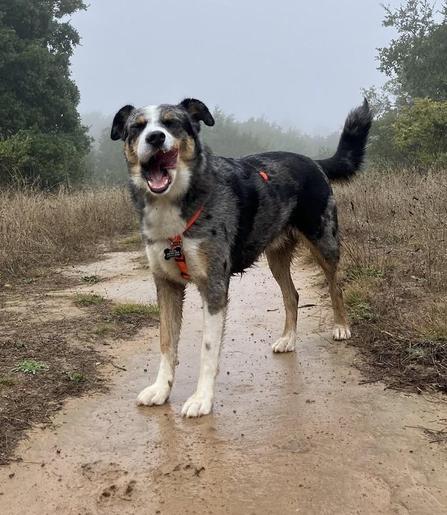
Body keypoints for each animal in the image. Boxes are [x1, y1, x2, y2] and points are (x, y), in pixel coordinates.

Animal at [110, 98, 372, 420]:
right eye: (137, 127)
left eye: (172, 123)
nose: (155, 138)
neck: (175, 207)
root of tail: (313, 161)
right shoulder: (166, 284)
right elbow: (166, 342)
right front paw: (161, 389)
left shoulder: (214, 288)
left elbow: (208, 348)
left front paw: (202, 398)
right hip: (276, 257)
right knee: (292, 296)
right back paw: (289, 338)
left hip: (324, 241)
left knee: (335, 285)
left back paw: (341, 326)